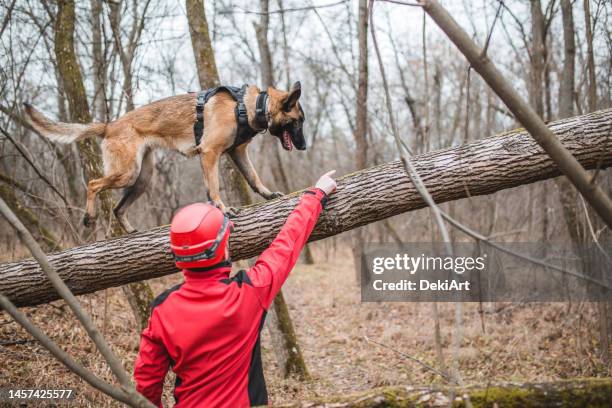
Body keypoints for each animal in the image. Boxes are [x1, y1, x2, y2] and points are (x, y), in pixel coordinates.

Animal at [23, 82, 306, 233]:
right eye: (298, 122)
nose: (304, 147)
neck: (251, 106)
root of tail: (110, 125)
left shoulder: (237, 153)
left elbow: (254, 178)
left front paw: (268, 194)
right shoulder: (209, 153)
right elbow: (214, 187)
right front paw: (222, 207)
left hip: (142, 178)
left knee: (118, 207)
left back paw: (128, 230)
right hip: (127, 173)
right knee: (93, 184)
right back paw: (89, 217)